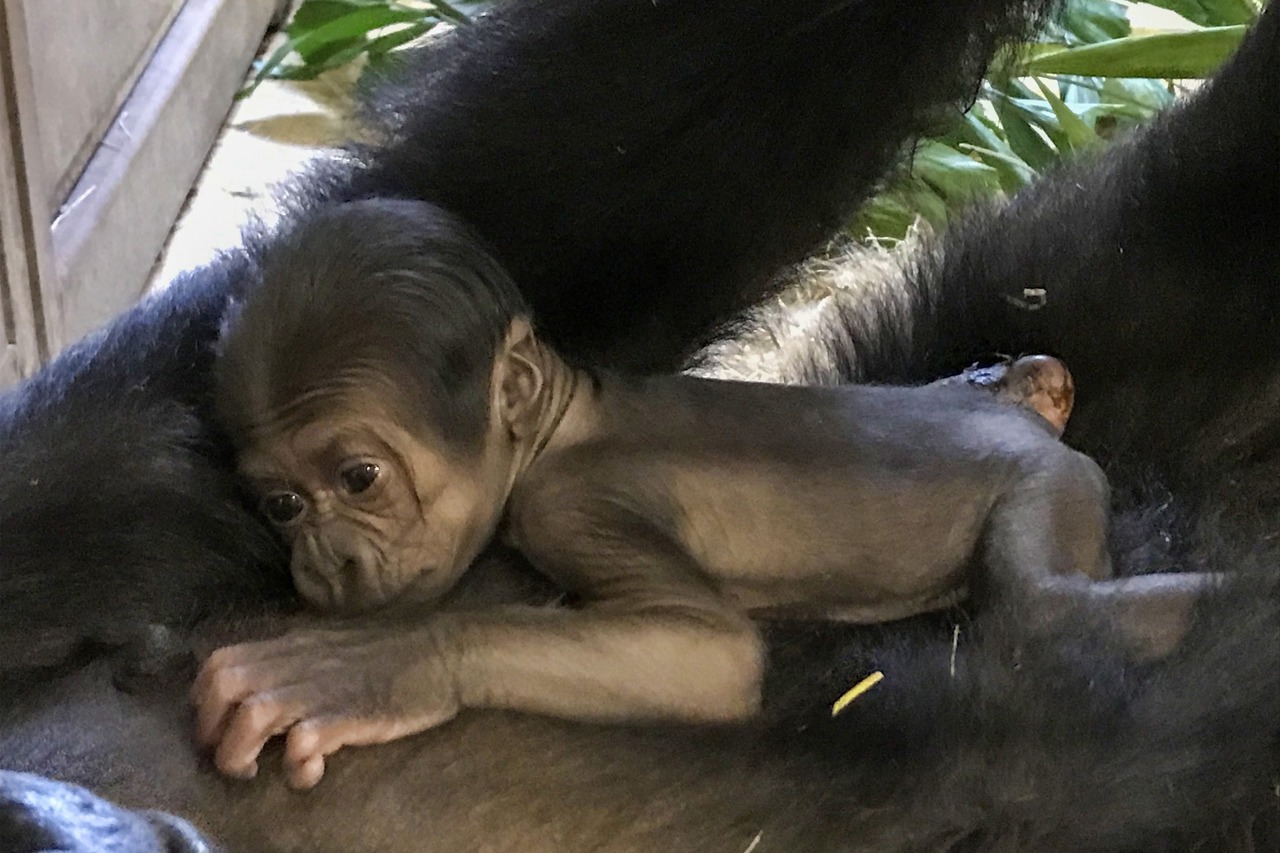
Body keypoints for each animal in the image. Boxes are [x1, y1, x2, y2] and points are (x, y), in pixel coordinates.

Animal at [193, 196, 1212, 791]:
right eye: (282, 505)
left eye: (359, 479)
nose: (325, 560)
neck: (563, 421)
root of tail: (1028, 429)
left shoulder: (566, 504)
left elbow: (710, 647)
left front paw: (382, 664)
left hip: (1053, 483)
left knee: (1042, 605)